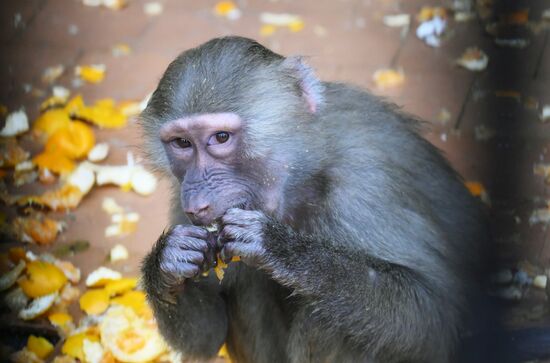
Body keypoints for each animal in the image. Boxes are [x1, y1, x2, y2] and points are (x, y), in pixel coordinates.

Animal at [139, 37, 492, 363]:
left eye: (221, 138)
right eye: (182, 143)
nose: (196, 199)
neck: (300, 173)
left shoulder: (365, 181)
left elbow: (431, 313)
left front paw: (282, 249)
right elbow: (208, 335)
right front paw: (168, 261)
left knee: (327, 319)